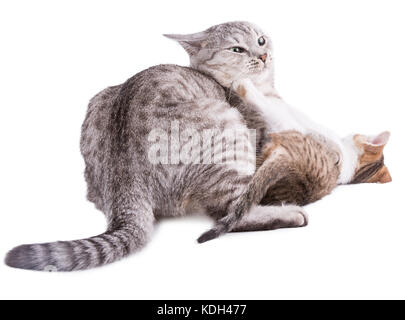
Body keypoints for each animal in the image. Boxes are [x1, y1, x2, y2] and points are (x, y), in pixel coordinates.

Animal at [4, 21, 306, 272]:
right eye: (237, 49)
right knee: (229, 212)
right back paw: (289, 213)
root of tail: (125, 179)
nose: (263, 55)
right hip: (229, 131)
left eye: (261, 40)